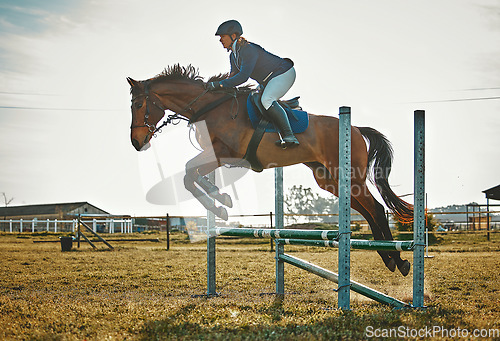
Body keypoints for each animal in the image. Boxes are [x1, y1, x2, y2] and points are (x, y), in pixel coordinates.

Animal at [128, 64, 414, 276]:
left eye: (139, 105)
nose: (137, 143)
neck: (209, 107)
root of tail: (355, 128)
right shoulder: (215, 155)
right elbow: (192, 175)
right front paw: (221, 200)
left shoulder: (224, 153)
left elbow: (189, 173)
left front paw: (220, 203)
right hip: (329, 180)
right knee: (368, 212)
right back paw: (389, 258)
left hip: (350, 176)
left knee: (376, 209)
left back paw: (399, 261)